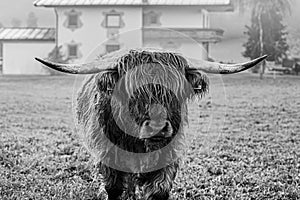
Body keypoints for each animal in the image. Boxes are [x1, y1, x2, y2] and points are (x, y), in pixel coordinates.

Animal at [35, 48, 268, 200]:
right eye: (131, 91)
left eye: (176, 92)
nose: (158, 127)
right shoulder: (108, 156)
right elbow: (114, 188)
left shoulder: (169, 156)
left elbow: (158, 191)